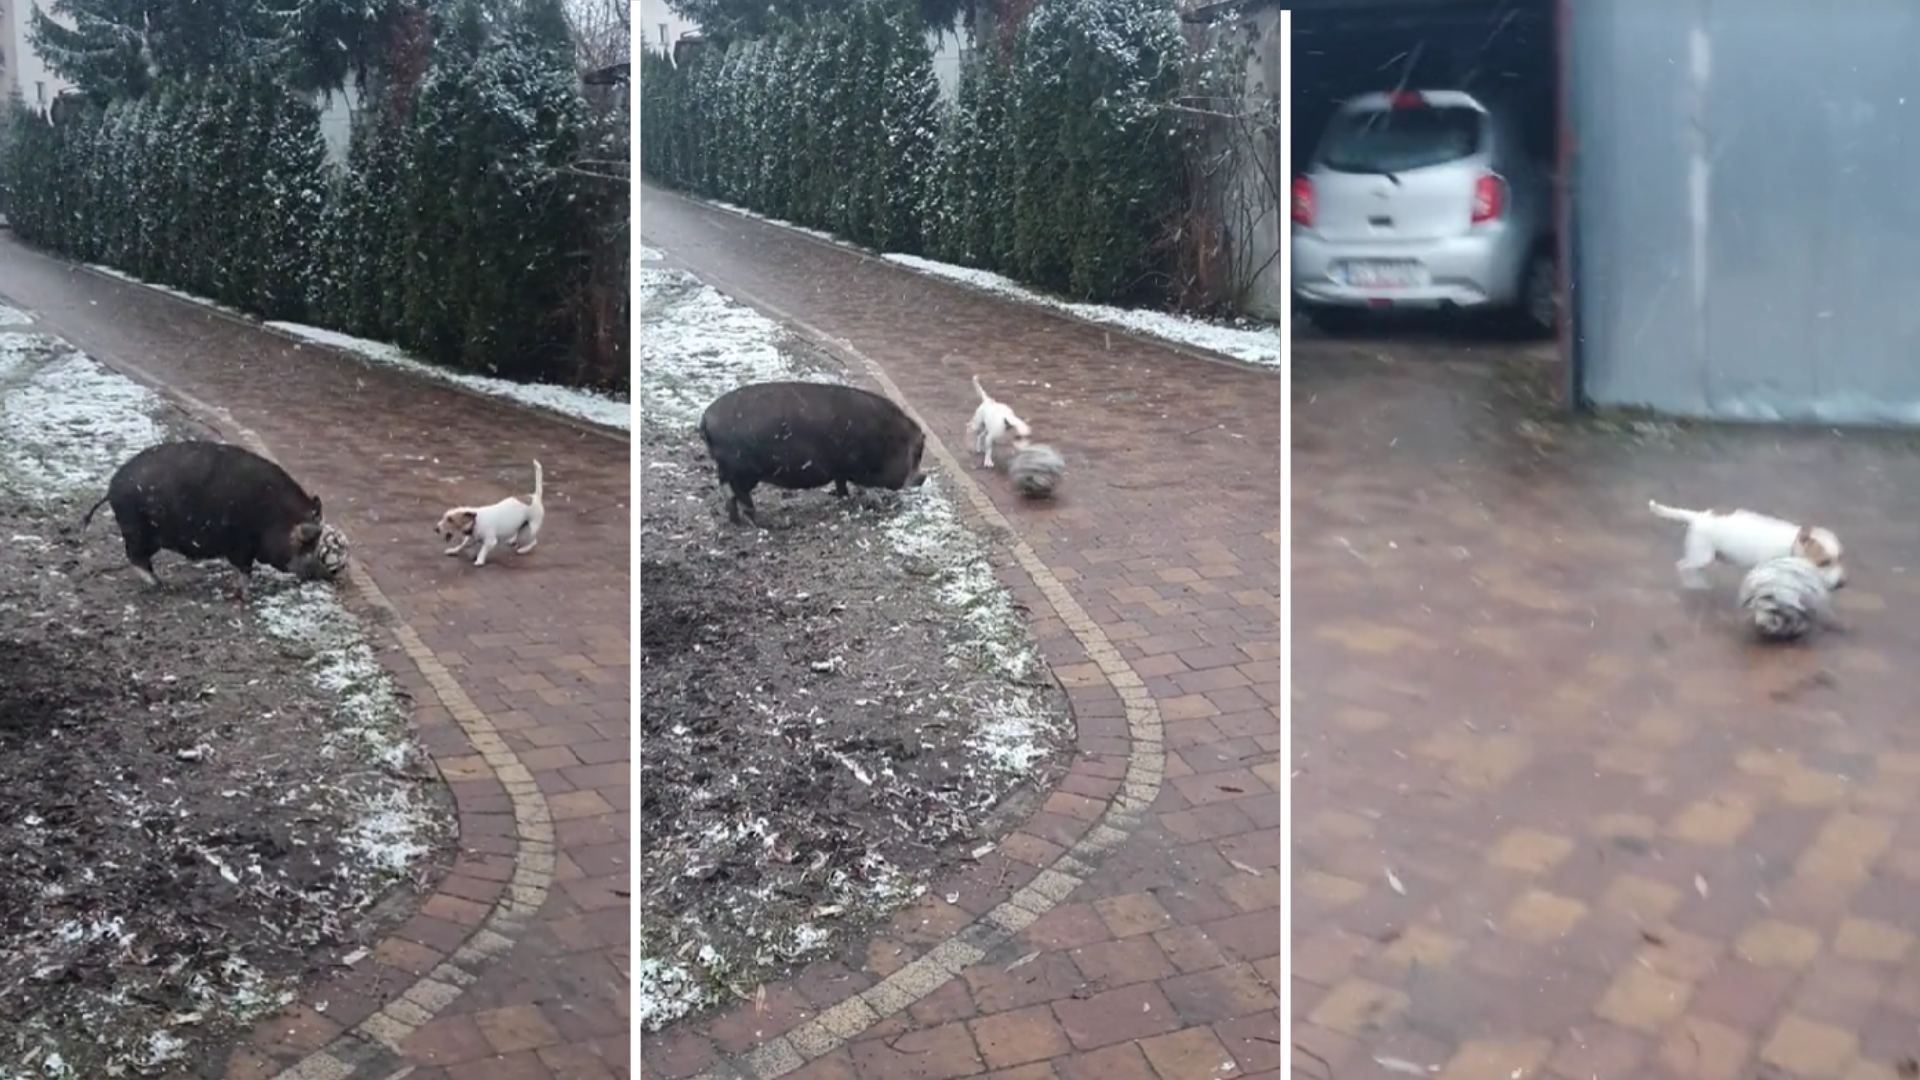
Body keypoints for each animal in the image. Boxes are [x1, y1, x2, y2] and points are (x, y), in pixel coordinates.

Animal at [80, 438, 330, 595]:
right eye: (307, 542)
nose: (322, 574)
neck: (274, 516)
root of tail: (112, 487)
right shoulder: (241, 545)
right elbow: (244, 570)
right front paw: (247, 593)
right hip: (137, 530)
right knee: (136, 558)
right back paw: (163, 586)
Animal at [706, 382, 929, 526]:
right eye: (917, 454)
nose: (923, 476)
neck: (886, 440)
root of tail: (705, 420)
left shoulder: (841, 470)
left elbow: (841, 484)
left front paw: (843, 497)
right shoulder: (856, 467)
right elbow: (862, 485)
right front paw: (877, 503)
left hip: (728, 469)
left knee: (727, 491)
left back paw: (737, 521)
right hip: (744, 471)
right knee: (738, 493)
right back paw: (761, 522)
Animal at [1651, 499, 1843, 588]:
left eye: (1840, 558)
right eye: (1824, 563)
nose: (1842, 583)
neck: (1791, 545)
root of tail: (1699, 516)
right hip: (1701, 556)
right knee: (1682, 566)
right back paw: (1694, 584)